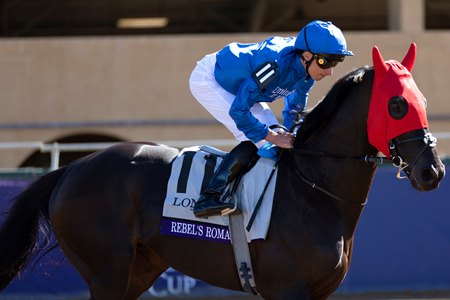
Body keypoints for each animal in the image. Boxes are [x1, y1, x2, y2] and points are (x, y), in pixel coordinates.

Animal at [0, 44, 444, 300]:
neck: (312, 190)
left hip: (137, 270)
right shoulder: (289, 288)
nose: (433, 171)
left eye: (423, 101)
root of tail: (71, 169)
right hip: (106, 271)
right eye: (397, 106)